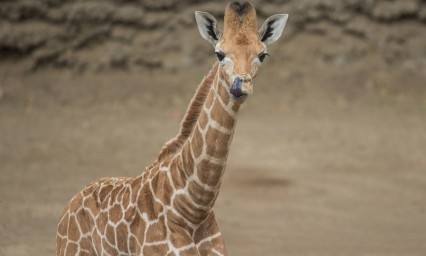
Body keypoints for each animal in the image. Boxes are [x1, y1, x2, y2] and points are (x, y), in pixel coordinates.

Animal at [56, 2, 288, 256]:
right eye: (219, 54)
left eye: (262, 55)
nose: (240, 87)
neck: (194, 209)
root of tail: (68, 206)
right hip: (71, 251)